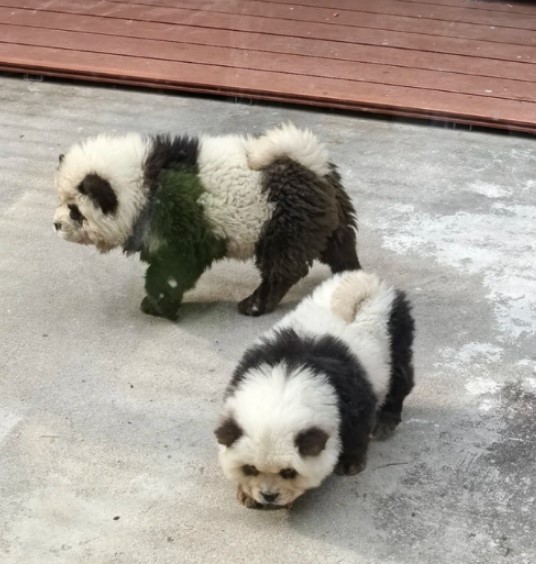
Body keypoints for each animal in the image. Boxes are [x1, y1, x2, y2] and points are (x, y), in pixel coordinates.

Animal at [53, 123, 360, 318]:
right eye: (61, 201)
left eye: (75, 211)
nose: (55, 224)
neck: (140, 180)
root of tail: (309, 160)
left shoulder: (177, 220)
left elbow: (175, 267)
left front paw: (157, 305)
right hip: (330, 209)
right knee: (340, 242)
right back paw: (350, 272)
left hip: (282, 217)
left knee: (281, 265)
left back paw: (255, 304)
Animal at [214, 270, 414, 508]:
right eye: (250, 468)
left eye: (289, 472)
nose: (269, 496)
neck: (286, 381)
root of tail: (370, 281)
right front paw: (246, 493)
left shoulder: (350, 392)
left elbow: (357, 425)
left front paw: (350, 463)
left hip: (395, 332)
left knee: (399, 376)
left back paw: (385, 421)